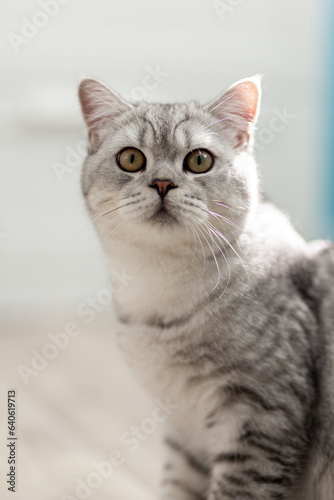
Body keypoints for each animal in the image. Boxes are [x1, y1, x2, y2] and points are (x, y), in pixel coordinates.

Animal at [77, 75, 334, 500]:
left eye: (199, 161)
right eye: (130, 159)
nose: (163, 183)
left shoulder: (262, 419)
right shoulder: (185, 432)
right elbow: (177, 487)